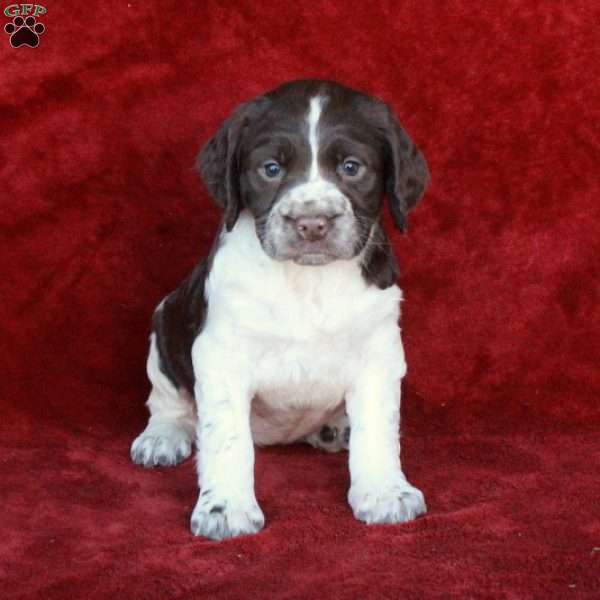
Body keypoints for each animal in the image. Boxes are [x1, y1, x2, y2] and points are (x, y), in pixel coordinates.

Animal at [134, 77, 428, 540]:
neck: (307, 281)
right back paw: (162, 436)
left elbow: (379, 430)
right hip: (165, 323)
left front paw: (384, 492)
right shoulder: (220, 355)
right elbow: (227, 438)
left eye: (352, 167)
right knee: (168, 400)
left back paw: (334, 429)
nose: (312, 224)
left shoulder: (379, 352)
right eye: (270, 169)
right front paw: (226, 507)